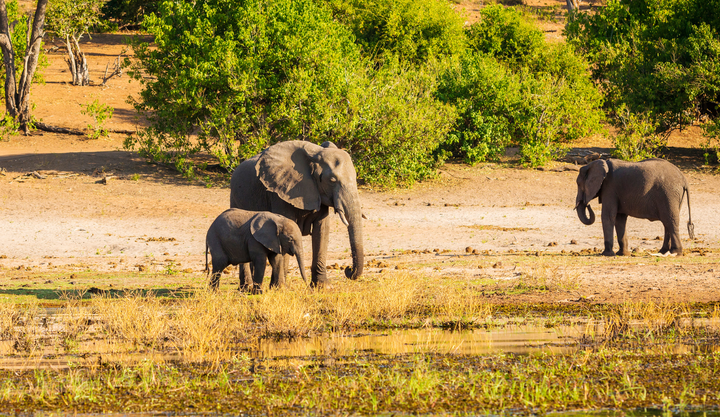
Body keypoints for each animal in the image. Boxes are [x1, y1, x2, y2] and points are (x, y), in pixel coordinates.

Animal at [230, 140, 363, 289]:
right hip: (235, 197)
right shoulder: (279, 193)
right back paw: (246, 287)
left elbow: (321, 231)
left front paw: (323, 287)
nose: (348, 270)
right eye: (332, 180)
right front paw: (280, 288)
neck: (315, 154)